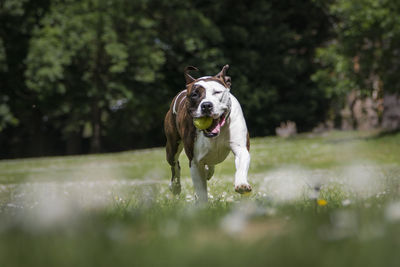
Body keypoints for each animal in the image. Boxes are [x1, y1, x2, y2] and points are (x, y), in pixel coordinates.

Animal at [164, 65, 252, 203]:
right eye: (194, 95)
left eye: (217, 92)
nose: (206, 105)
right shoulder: (195, 162)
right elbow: (201, 191)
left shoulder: (241, 148)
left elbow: (242, 162)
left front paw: (242, 184)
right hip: (172, 147)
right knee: (175, 165)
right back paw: (175, 186)